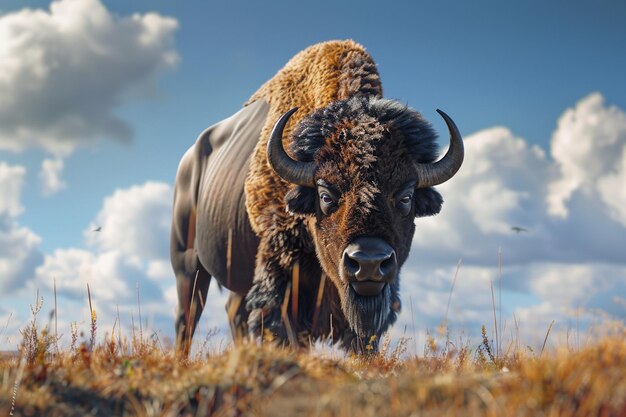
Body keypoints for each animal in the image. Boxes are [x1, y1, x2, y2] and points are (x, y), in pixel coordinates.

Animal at [171, 39, 464, 354]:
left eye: (407, 197)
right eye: (325, 194)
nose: (369, 263)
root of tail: (188, 162)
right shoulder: (281, 279)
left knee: (233, 311)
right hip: (187, 265)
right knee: (187, 317)